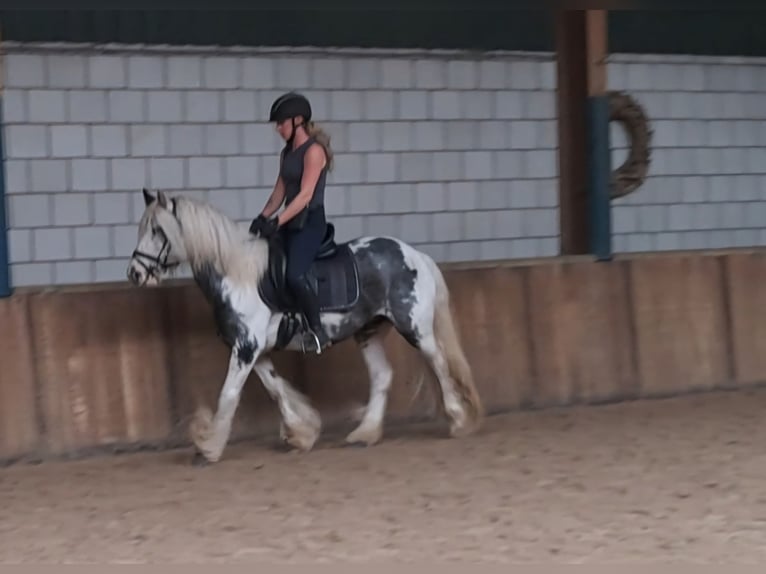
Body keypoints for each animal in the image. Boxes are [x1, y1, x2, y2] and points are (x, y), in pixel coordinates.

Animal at [128, 190, 484, 468]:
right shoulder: (254, 350)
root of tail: (416, 254)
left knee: (439, 363)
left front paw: (208, 449)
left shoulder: (246, 348)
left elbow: (228, 394)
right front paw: (301, 433)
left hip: (415, 329)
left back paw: (458, 420)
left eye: (158, 230)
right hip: (368, 331)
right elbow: (275, 389)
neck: (237, 274)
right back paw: (364, 433)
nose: (135, 274)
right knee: (383, 375)